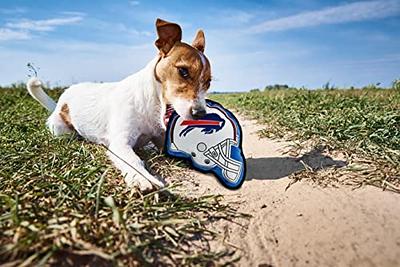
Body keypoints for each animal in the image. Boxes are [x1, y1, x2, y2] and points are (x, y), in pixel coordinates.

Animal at [25, 18, 212, 193]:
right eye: (183, 71)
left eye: (208, 82)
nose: (200, 114)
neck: (150, 106)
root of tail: (60, 101)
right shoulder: (120, 144)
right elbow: (134, 161)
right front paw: (142, 178)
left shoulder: (160, 140)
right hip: (60, 130)